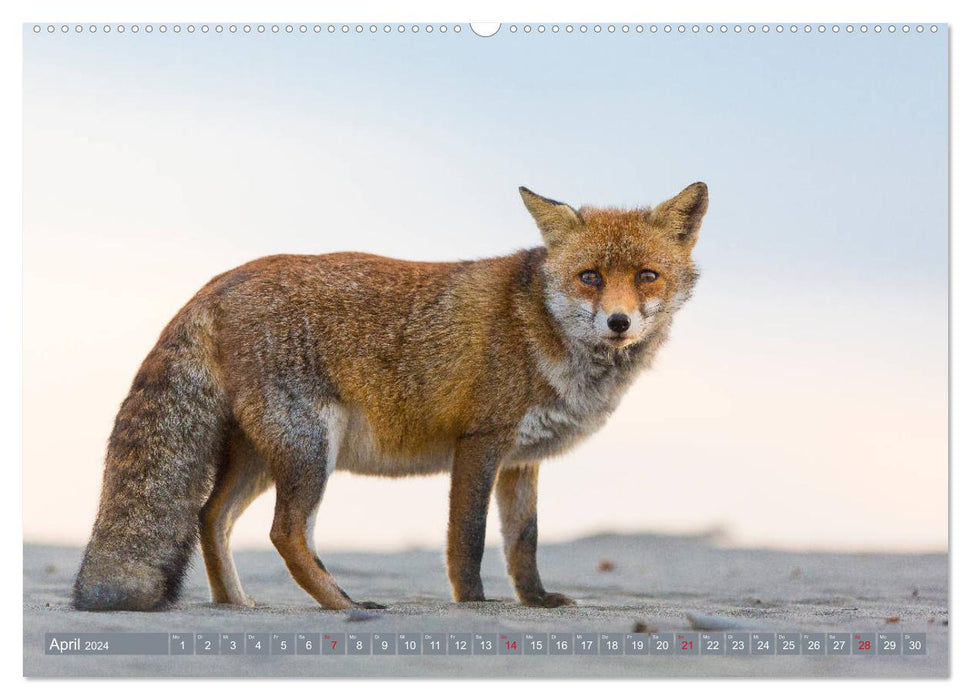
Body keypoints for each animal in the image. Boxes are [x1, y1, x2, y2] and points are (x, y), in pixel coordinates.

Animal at [74, 183, 708, 608]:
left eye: (647, 276)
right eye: (590, 277)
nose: (620, 323)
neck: (540, 329)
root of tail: (221, 279)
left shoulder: (521, 460)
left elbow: (523, 544)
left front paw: (536, 601)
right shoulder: (480, 443)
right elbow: (469, 539)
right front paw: (474, 602)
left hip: (262, 455)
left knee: (211, 517)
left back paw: (238, 604)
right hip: (311, 448)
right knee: (284, 533)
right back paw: (345, 606)